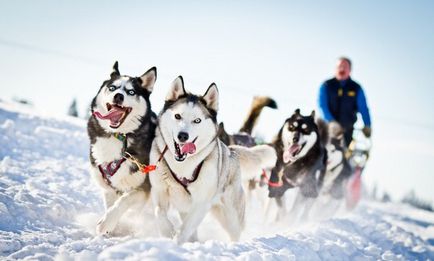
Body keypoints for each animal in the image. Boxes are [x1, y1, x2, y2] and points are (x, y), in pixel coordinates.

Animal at [87, 61, 157, 234]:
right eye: (112, 87)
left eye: (131, 92)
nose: (118, 96)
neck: (118, 135)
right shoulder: (108, 187)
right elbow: (111, 205)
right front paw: (112, 228)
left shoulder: (142, 188)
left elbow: (123, 202)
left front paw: (107, 223)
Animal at [149, 76, 276, 243]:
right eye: (177, 116)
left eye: (197, 120)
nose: (183, 136)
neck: (182, 166)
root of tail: (230, 151)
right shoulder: (160, 191)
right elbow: (159, 213)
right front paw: (168, 232)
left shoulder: (200, 203)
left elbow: (185, 229)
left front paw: (175, 241)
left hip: (231, 216)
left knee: (235, 233)